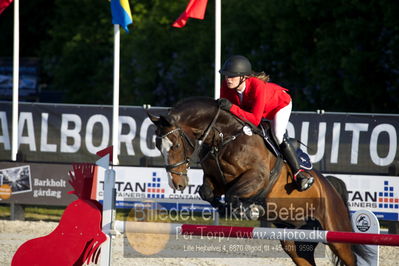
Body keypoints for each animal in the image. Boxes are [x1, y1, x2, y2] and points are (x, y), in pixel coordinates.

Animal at [148, 97, 370, 266]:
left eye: (176, 145)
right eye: (158, 146)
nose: (176, 184)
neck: (223, 137)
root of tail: (330, 186)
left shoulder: (257, 177)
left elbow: (233, 194)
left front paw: (250, 210)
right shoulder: (216, 180)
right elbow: (207, 192)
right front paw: (225, 208)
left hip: (337, 236)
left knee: (349, 257)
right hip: (296, 242)